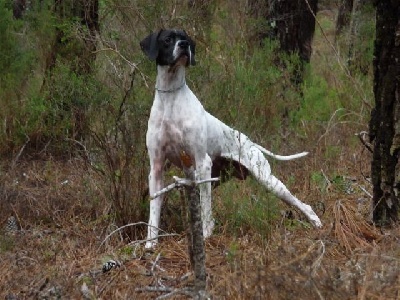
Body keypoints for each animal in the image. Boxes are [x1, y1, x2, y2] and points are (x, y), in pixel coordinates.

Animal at [141, 28, 322, 248]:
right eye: (167, 39)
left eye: (184, 38)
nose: (183, 45)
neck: (170, 98)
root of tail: (250, 142)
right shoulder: (157, 168)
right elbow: (154, 211)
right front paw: (150, 244)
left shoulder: (202, 162)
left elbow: (205, 206)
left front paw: (206, 234)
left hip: (267, 180)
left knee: (300, 203)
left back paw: (315, 221)